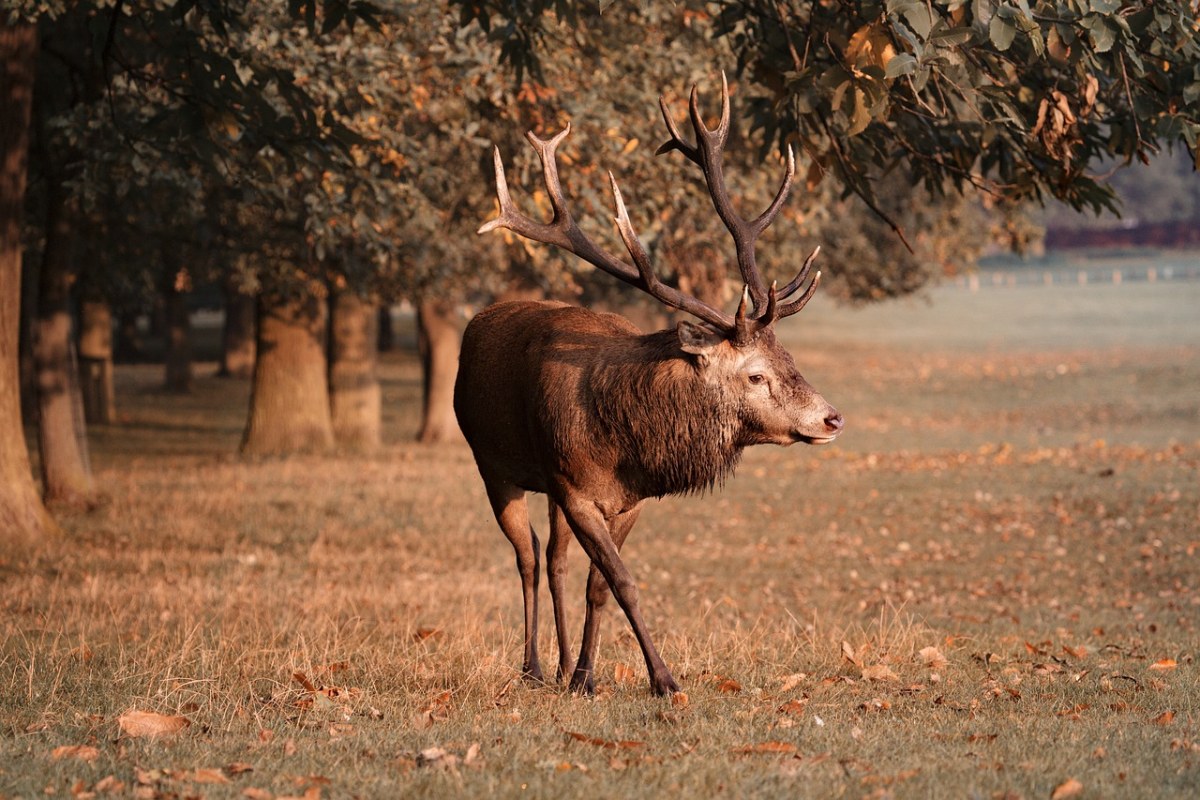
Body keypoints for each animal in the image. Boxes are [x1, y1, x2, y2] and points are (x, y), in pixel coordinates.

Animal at [451, 76, 844, 700]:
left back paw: (560, 666)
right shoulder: (576, 490)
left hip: (548, 484)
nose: (831, 418)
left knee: (556, 559)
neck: (625, 444)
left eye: (789, 357)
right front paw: (664, 679)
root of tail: (477, 324)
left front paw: (585, 677)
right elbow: (625, 582)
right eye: (755, 373)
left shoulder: (625, 499)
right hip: (492, 463)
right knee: (528, 556)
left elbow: (598, 586)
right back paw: (532, 667)